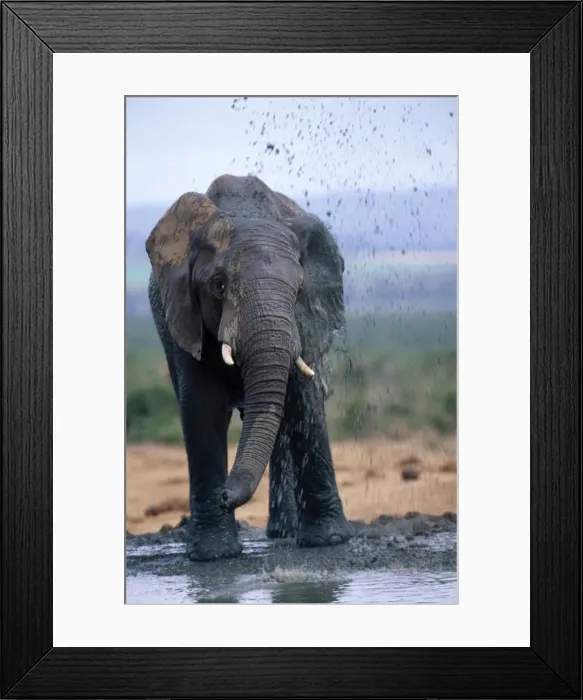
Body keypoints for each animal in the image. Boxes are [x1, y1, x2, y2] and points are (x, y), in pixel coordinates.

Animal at [146, 173, 352, 561]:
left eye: (299, 289)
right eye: (218, 285)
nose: (226, 496)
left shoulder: (304, 320)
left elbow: (303, 403)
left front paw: (329, 540)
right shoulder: (181, 315)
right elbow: (202, 406)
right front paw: (213, 554)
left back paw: (284, 533)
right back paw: (280, 532)